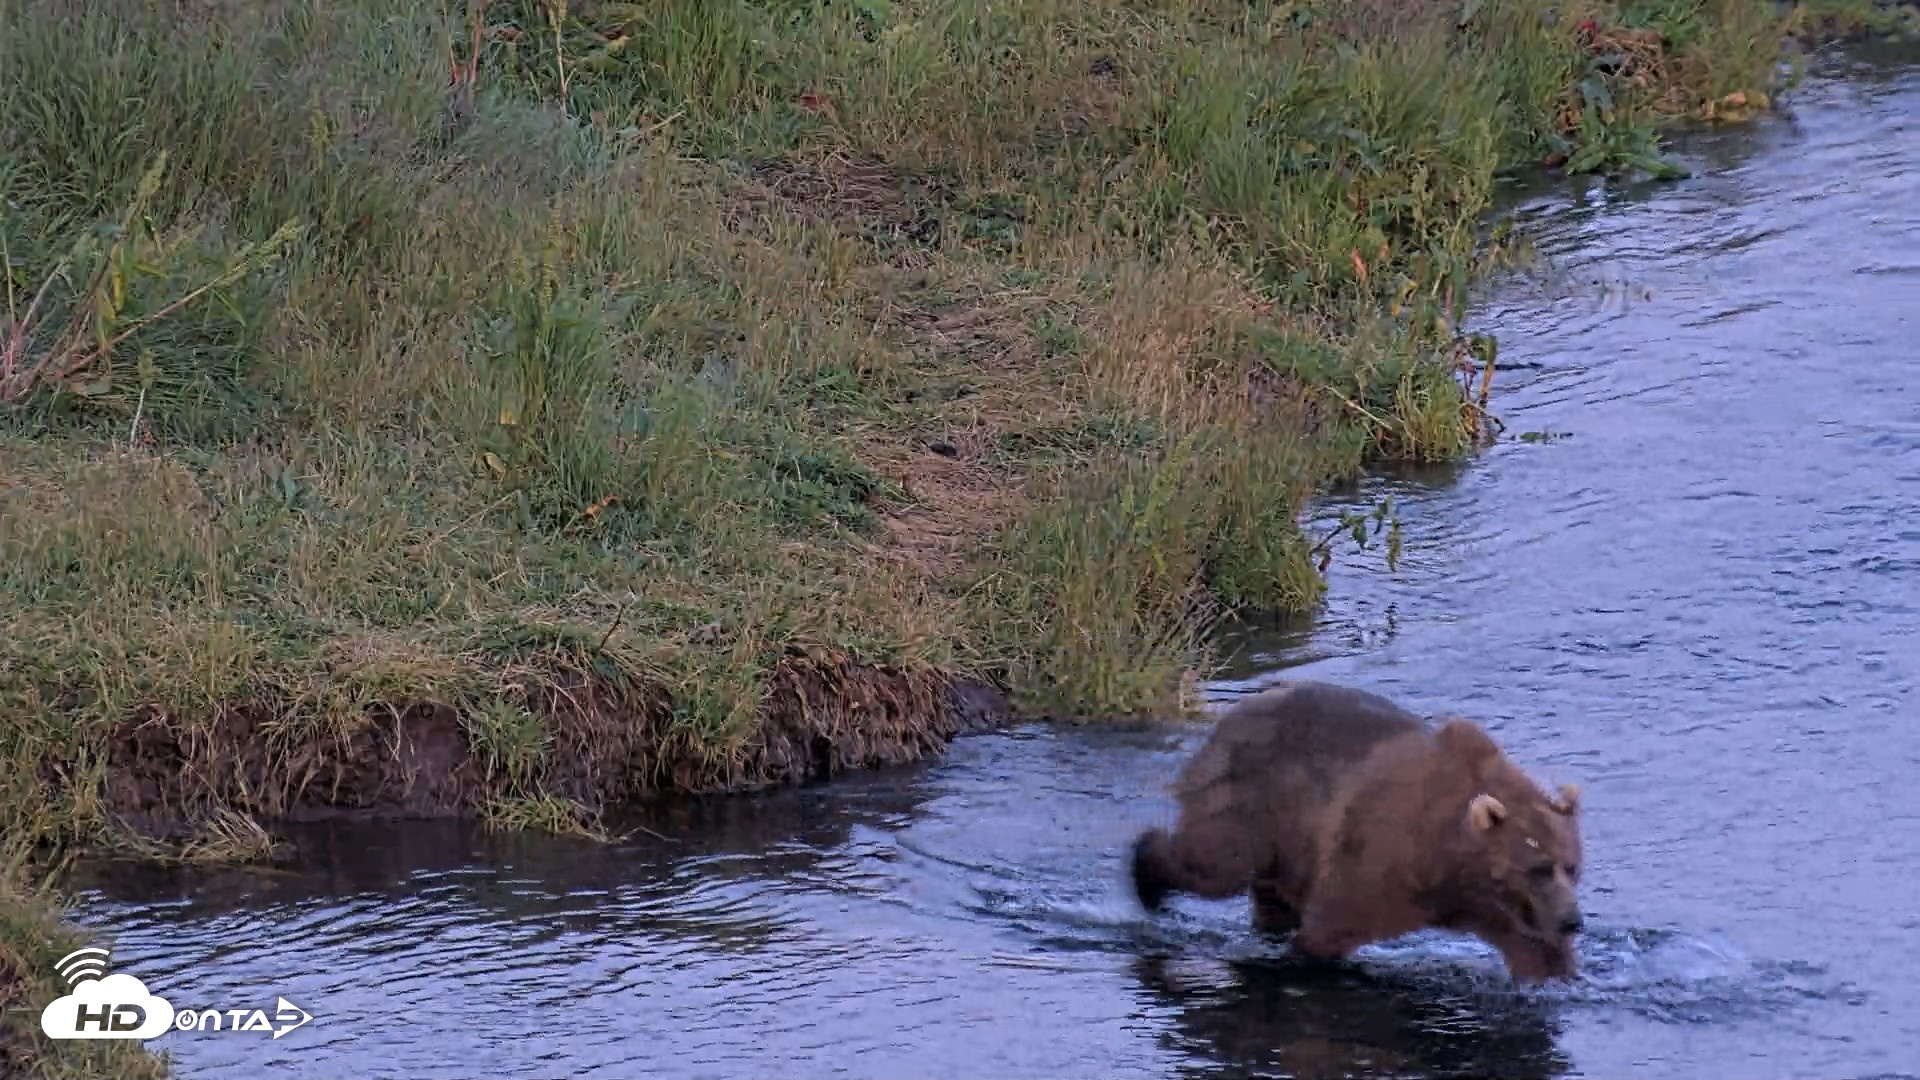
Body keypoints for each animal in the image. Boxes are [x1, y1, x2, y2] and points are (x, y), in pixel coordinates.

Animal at [1129, 679, 1586, 983]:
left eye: (1572, 866)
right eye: (1538, 866)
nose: (1573, 921)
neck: (1445, 858)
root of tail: (1235, 711)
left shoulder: (1495, 904)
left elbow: (1532, 944)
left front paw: (1556, 971)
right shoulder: (1380, 852)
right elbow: (1332, 925)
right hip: (1253, 803)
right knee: (1217, 864)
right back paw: (1149, 879)